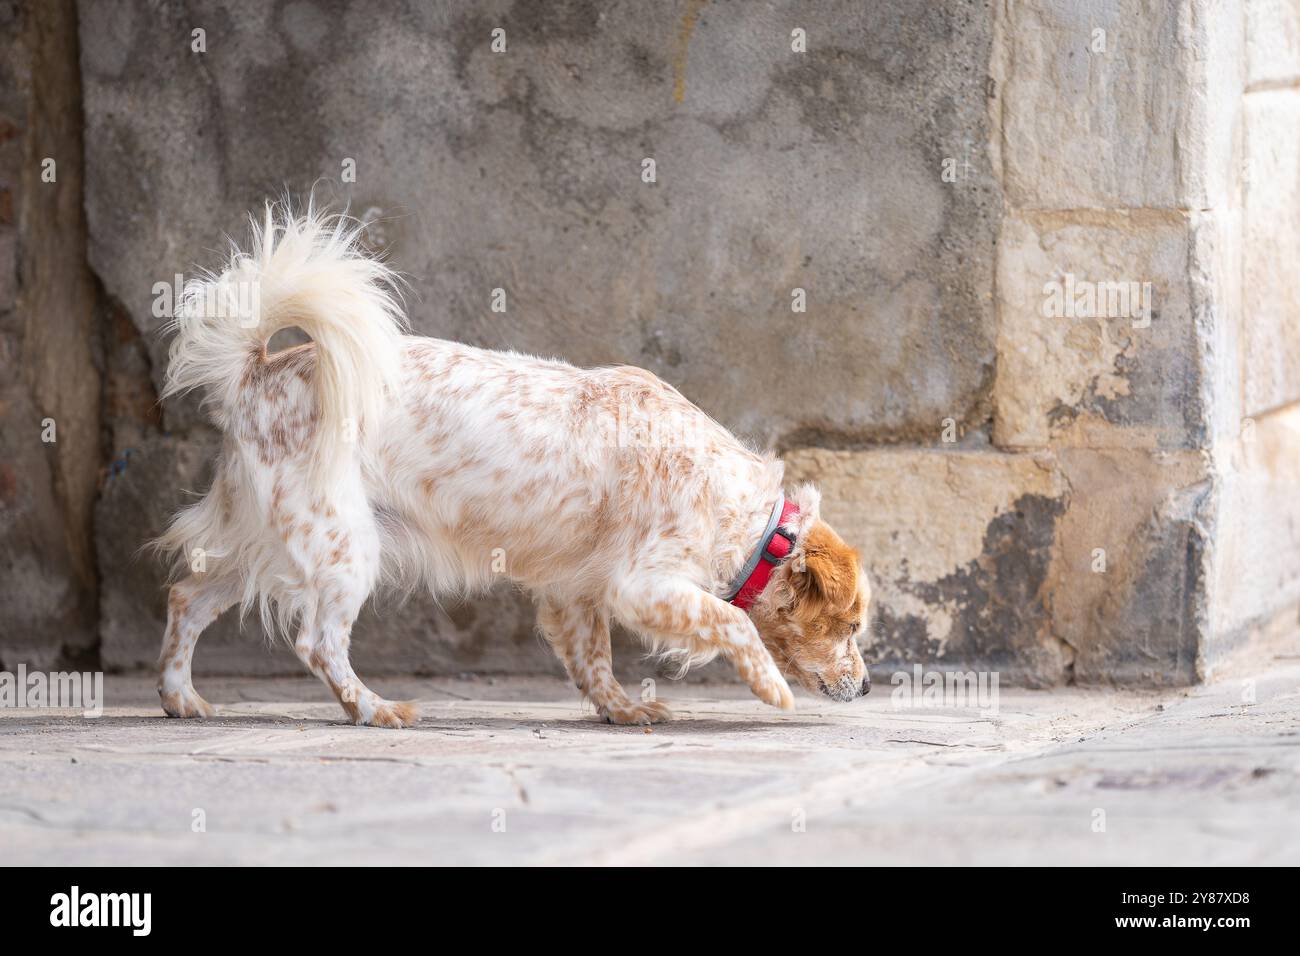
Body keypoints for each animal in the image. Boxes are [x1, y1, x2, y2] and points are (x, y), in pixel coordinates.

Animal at [157, 205, 868, 728]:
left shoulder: (580, 590)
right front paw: (771, 688)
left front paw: (622, 710)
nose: (865, 689)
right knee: (317, 643)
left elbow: (594, 660)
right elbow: (733, 620)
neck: (755, 525)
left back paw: (179, 697)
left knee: (186, 596)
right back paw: (375, 708)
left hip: (268, 539)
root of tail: (258, 371)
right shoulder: (639, 584)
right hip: (340, 543)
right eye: (852, 626)